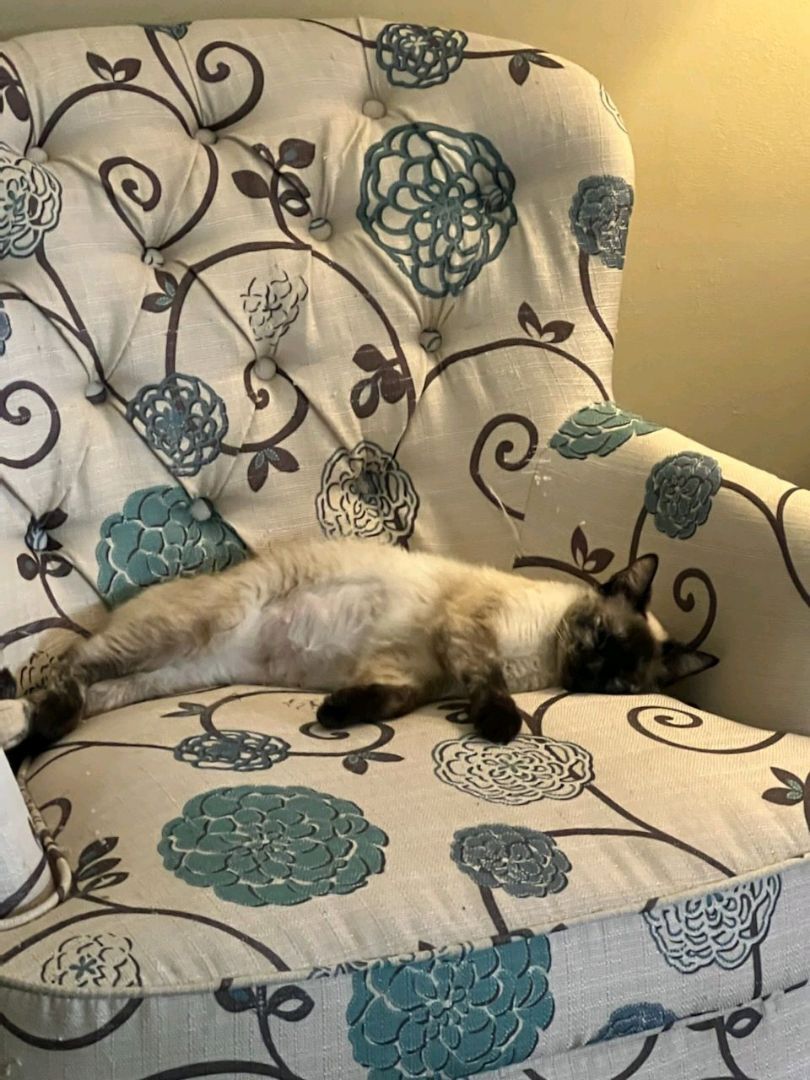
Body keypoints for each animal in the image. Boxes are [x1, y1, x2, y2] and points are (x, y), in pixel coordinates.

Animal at [0, 537, 712, 752]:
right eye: (598, 636)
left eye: (620, 684)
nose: (589, 671)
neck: (535, 660)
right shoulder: (468, 636)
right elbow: (492, 691)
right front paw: (503, 727)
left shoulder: (416, 672)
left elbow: (389, 702)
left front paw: (334, 713)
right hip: (178, 635)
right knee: (64, 667)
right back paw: (32, 719)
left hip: (165, 679)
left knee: (79, 694)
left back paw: (42, 730)